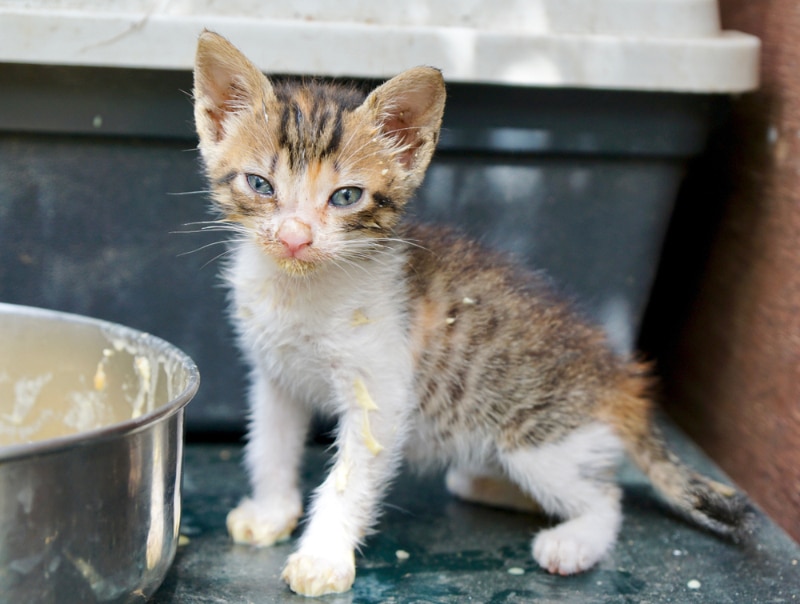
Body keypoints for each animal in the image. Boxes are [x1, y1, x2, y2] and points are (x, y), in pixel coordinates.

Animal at [194, 30, 752, 596]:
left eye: (346, 195)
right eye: (260, 184)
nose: (294, 237)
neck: (298, 289)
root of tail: (618, 378)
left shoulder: (382, 390)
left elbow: (350, 476)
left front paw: (322, 557)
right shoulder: (275, 375)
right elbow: (270, 446)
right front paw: (271, 512)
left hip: (541, 443)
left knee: (606, 499)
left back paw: (572, 541)